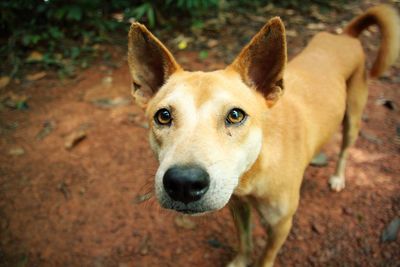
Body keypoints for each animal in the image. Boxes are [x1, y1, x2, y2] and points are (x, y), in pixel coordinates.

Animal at [126, 4, 398, 267]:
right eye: (163, 116)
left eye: (235, 115)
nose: (184, 183)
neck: (254, 171)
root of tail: (345, 36)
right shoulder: (238, 207)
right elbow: (244, 241)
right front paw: (239, 262)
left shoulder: (280, 225)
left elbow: (266, 256)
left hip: (353, 118)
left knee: (345, 149)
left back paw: (338, 177)